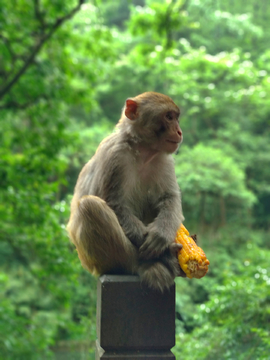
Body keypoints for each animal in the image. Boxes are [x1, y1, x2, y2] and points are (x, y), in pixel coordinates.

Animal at [67, 91, 186, 292]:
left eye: (176, 117)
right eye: (169, 117)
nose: (179, 132)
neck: (144, 151)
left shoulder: (165, 160)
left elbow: (169, 199)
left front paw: (161, 237)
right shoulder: (114, 156)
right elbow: (114, 203)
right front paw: (160, 248)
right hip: (97, 262)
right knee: (89, 206)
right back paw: (148, 262)